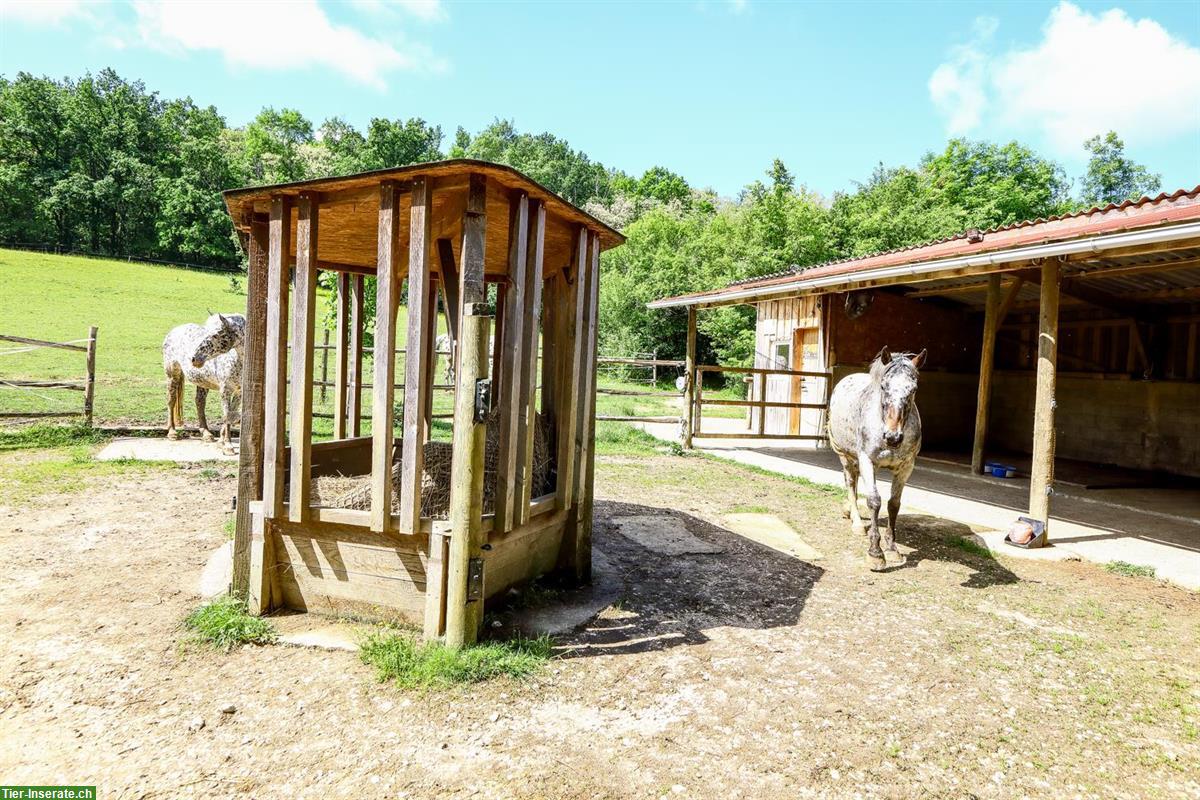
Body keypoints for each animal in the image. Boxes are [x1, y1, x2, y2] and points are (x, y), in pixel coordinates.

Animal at [162, 314, 246, 450]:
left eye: (216, 334)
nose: (194, 358)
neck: (237, 360)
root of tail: (173, 331)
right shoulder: (225, 390)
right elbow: (227, 414)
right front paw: (227, 445)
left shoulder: (238, 392)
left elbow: (230, 414)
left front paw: (221, 441)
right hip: (172, 375)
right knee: (171, 400)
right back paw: (172, 432)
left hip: (202, 382)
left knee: (199, 402)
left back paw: (206, 434)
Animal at [830, 347, 921, 573]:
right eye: (883, 386)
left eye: (913, 389)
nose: (893, 437)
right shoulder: (867, 461)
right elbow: (874, 501)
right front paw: (875, 554)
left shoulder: (906, 467)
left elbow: (893, 504)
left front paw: (892, 549)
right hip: (846, 456)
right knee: (850, 484)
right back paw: (856, 522)